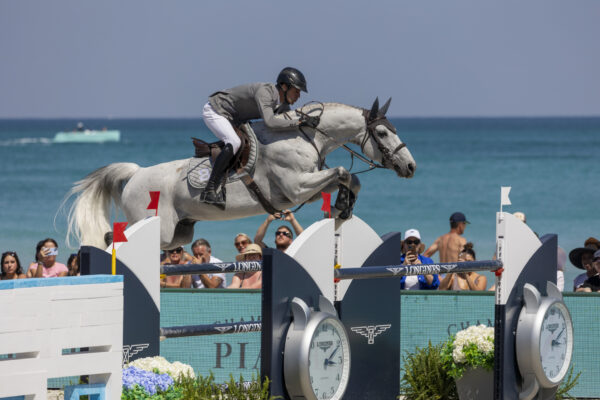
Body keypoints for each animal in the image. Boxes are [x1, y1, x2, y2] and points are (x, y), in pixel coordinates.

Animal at [64, 98, 412, 248]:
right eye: (382, 133)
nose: (410, 167)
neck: (306, 135)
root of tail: (136, 174)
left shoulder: (307, 190)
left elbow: (350, 177)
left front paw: (343, 206)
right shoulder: (297, 187)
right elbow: (342, 171)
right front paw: (342, 204)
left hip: (179, 234)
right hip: (153, 225)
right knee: (115, 237)